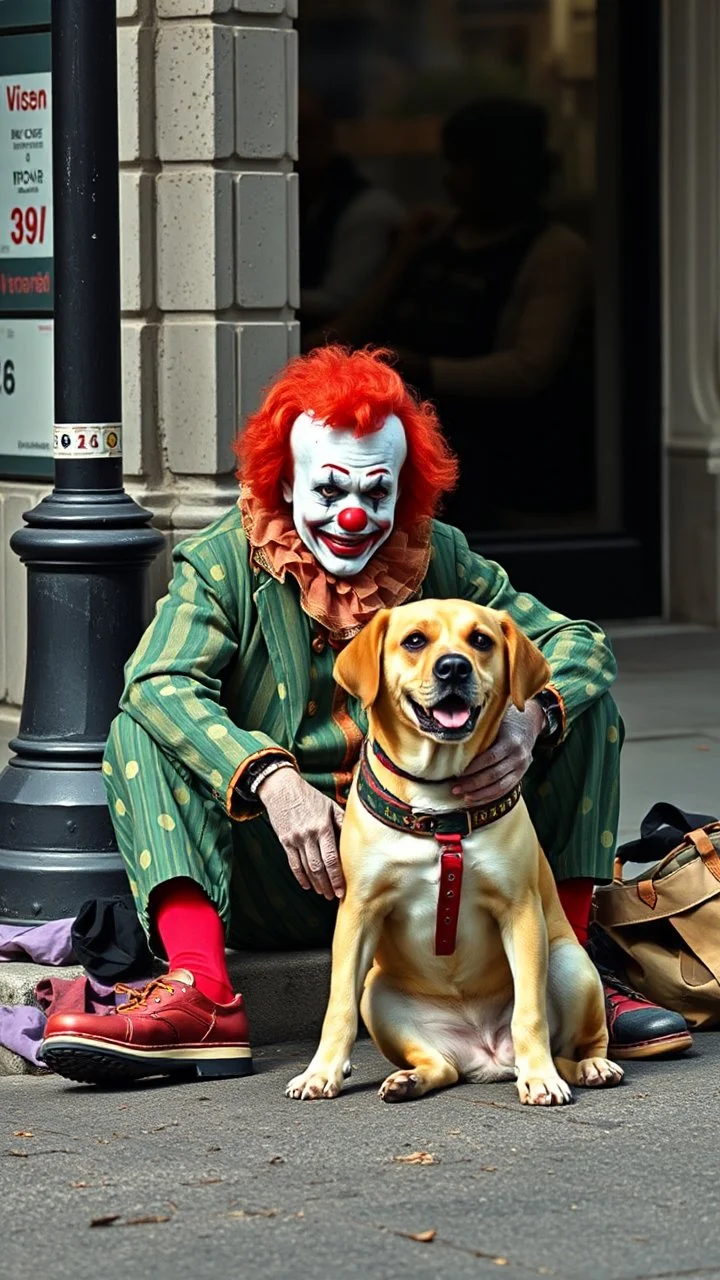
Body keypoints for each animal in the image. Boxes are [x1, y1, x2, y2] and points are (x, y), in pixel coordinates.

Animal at [283, 601, 620, 1111]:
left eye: (480, 640)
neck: (437, 801)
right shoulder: (359, 912)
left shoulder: (521, 913)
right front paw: (321, 1072)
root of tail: (488, 1054)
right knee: (442, 1066)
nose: (454, 667)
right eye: (414, 641)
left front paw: (541, 1078)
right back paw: (409, 1079)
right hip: (378, 995)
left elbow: (530, 1012)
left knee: (576, 1043)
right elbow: (337, 1007)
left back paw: (586, 1066)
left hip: (570, 964)